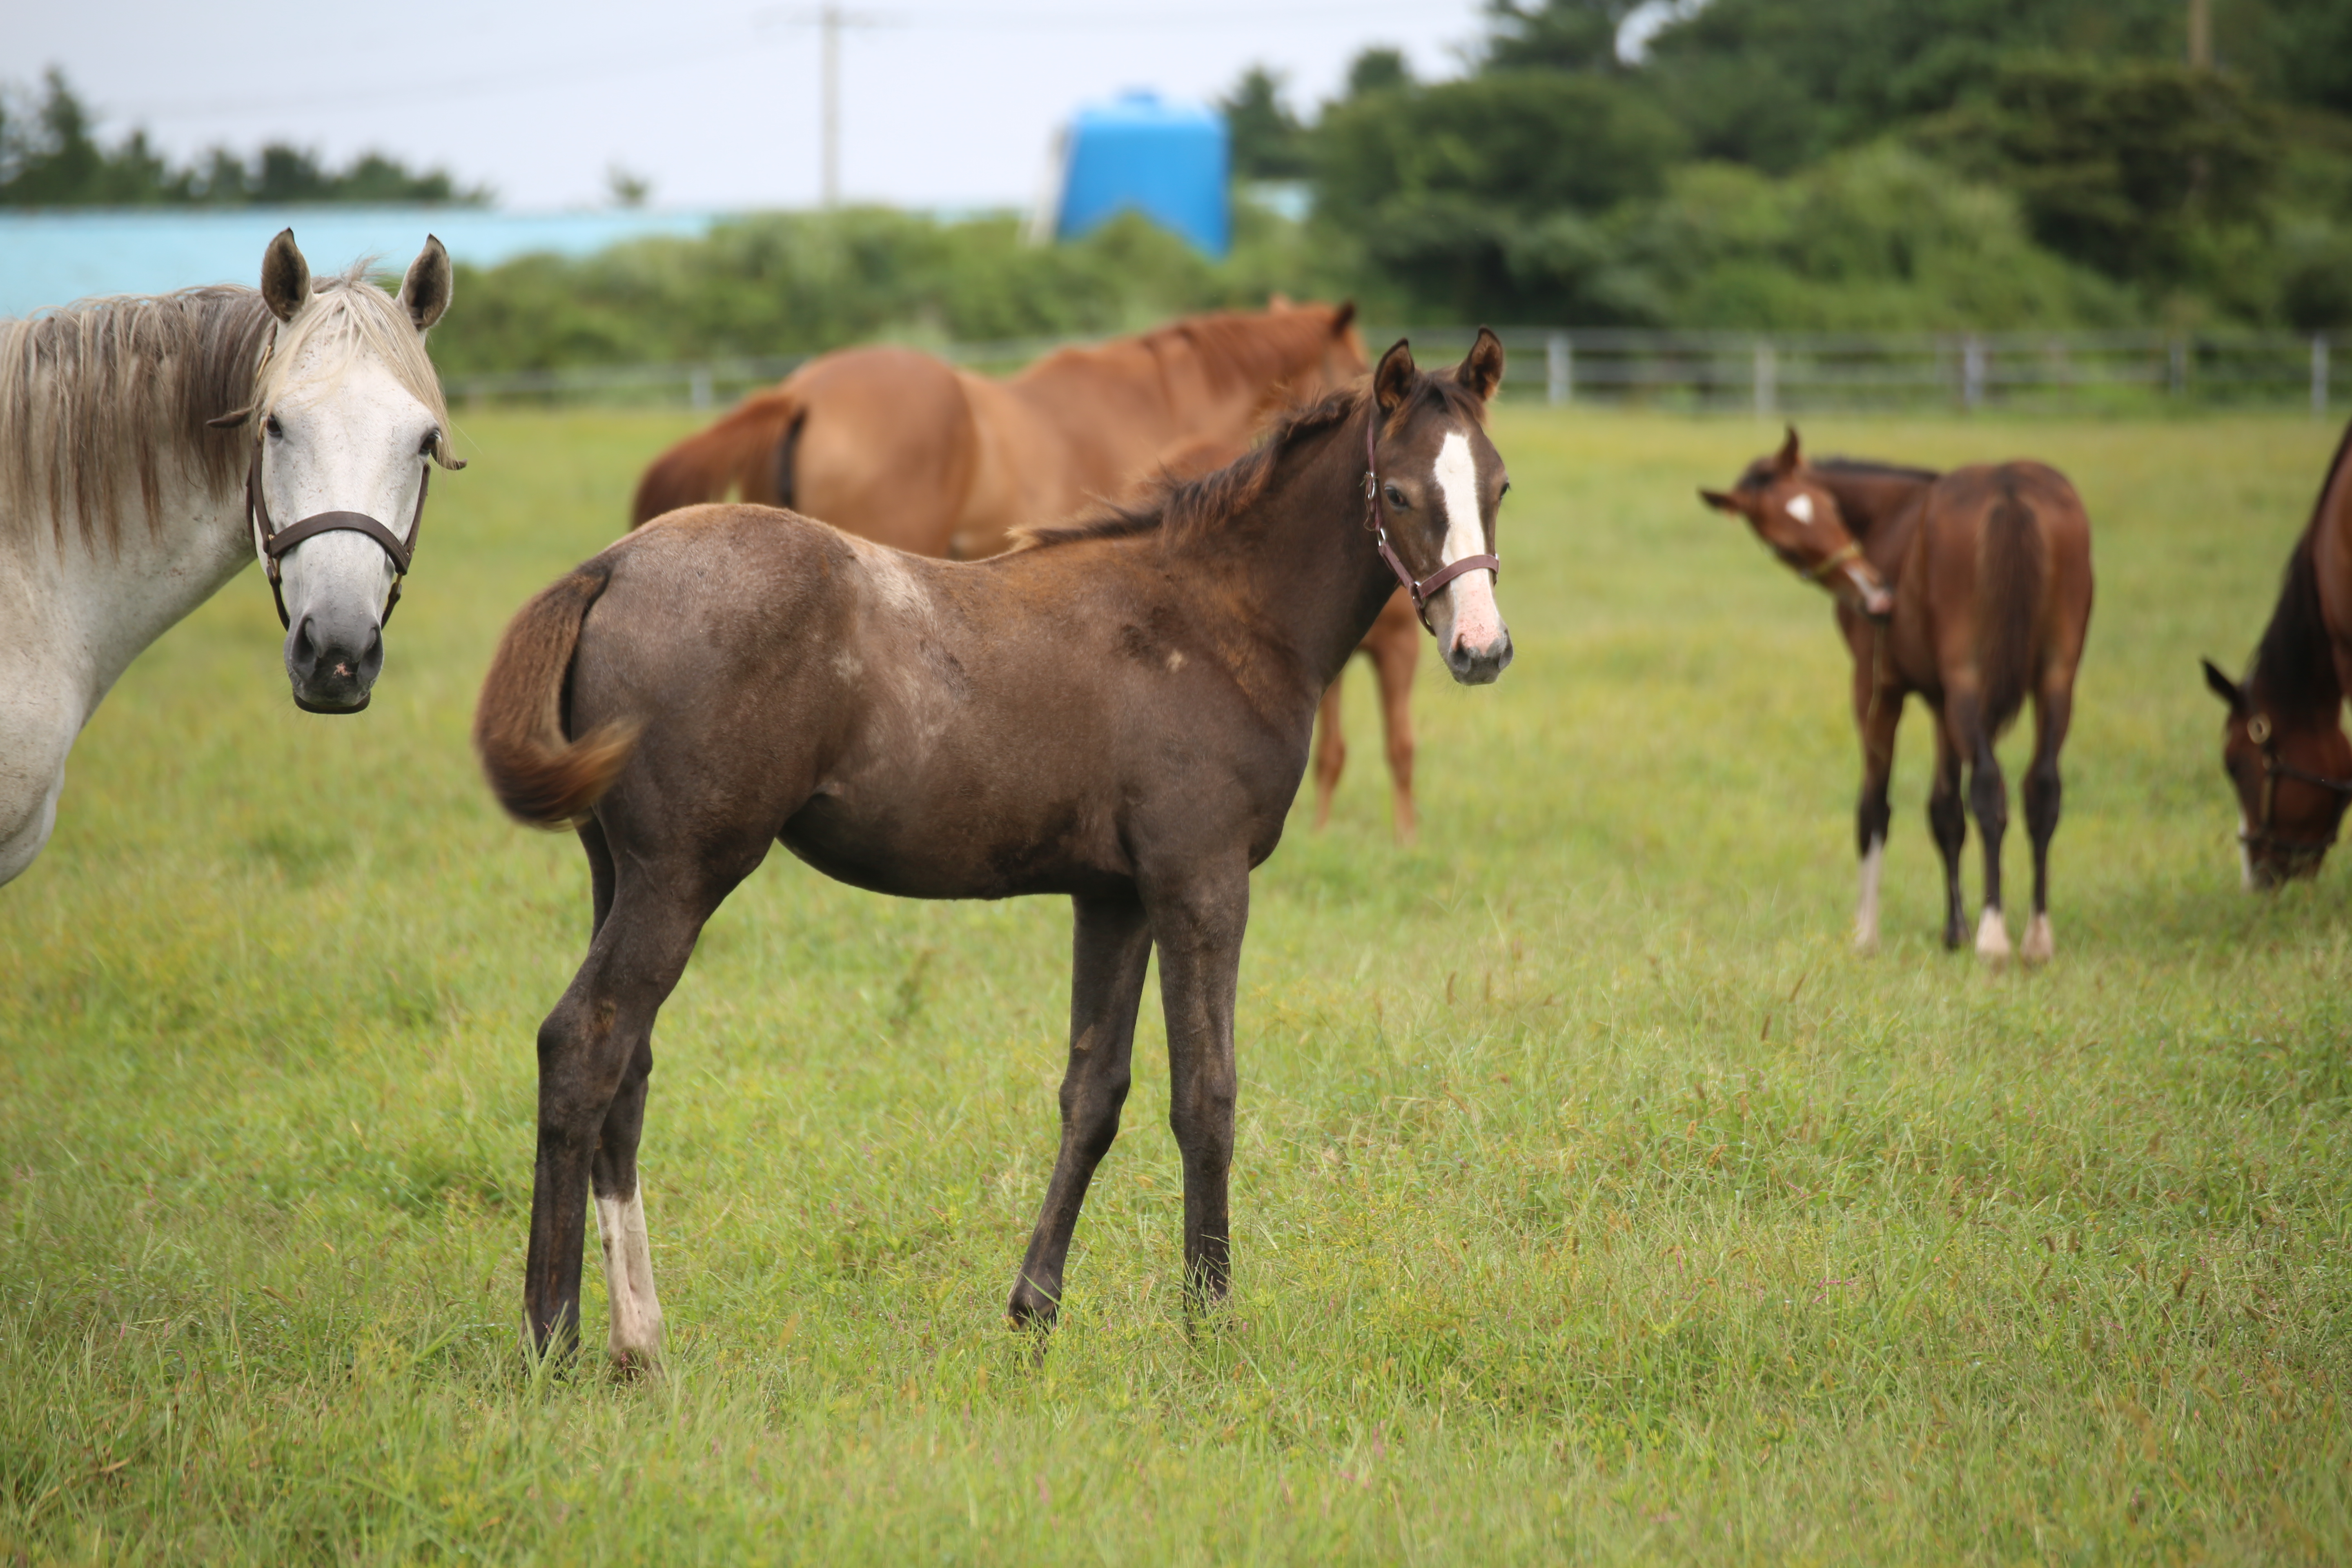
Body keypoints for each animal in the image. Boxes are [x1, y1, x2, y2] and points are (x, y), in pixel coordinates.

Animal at [468, 334, 1515, 1363]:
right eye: (1397, 493)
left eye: (1499, 484)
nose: (1480, 649)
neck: (1216, 616)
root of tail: (609, 566)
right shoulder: (1200, 882)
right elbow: (1205, 1096)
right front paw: (1210, 1324)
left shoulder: (1116, 897)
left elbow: (1093, 1093)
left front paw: (1033, 1311)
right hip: (684, 875)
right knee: (584, 1045)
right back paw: (552, 1338)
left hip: (619, 872)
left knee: (627, 1067)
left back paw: (638, 1340)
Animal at [1712, 432, 2098, 968]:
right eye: (1784, 546)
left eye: (1831, 507)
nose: (1877, 599)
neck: (1891, 513)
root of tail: (2009, 490)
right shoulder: (1940, 702)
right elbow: (1945, 813)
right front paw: (1953, 930)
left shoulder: (1877, 690)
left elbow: (1875, 806)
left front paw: (1865, 934)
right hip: (2056, 679)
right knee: (2042, 787)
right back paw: (2037, 937)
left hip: (1967, 678)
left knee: (1989, 786)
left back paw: (1994, 934)